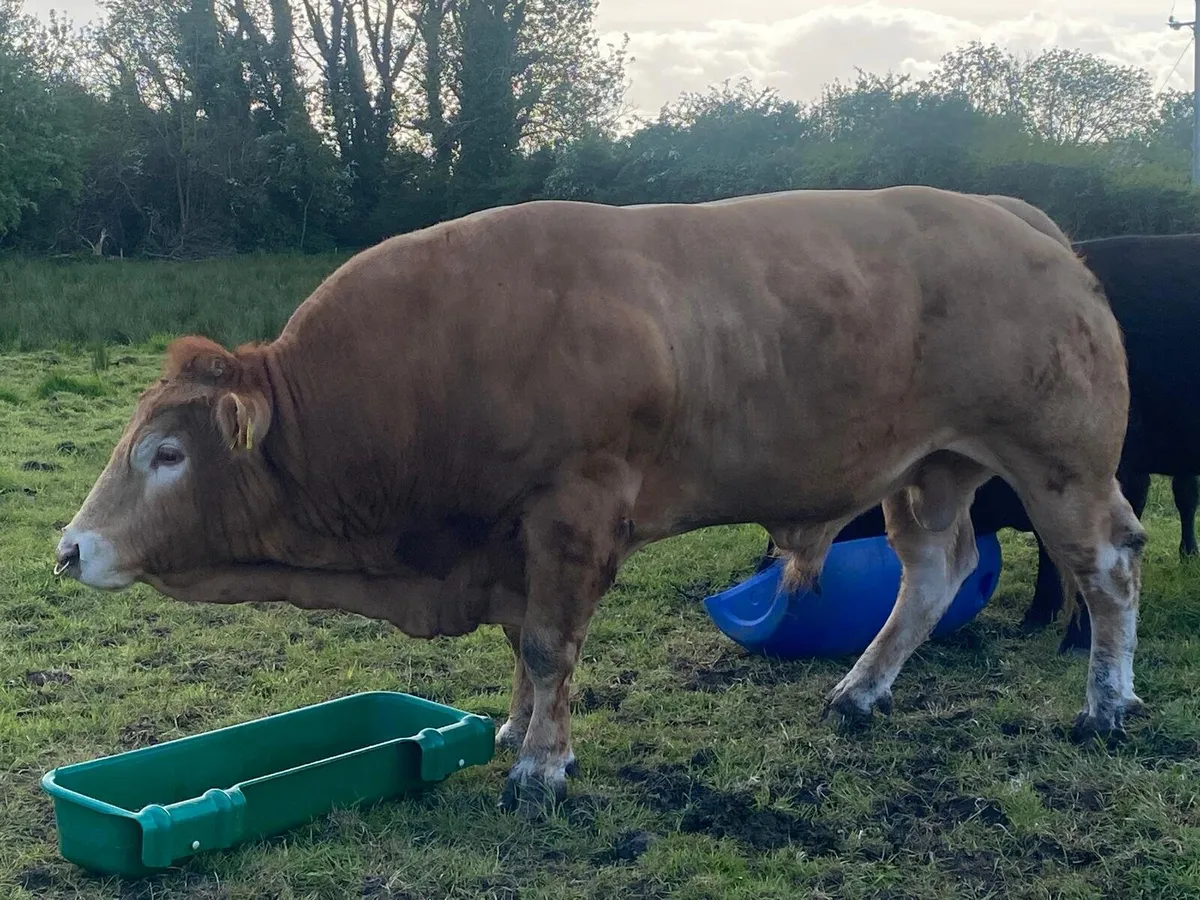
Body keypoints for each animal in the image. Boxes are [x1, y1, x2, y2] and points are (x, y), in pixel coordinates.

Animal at [54, 185, 1146, 816]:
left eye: (164, 454)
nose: (68, 550)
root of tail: (1020, 219)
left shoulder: (572, 514)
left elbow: (550, 645)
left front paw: (542, 764)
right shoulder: (507, 540)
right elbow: (522, 644)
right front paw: (513, 729)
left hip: (1062, 464)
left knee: (1108, 567)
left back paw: (1106, 704)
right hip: (930, 470)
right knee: (931, 575)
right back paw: (861, 690)